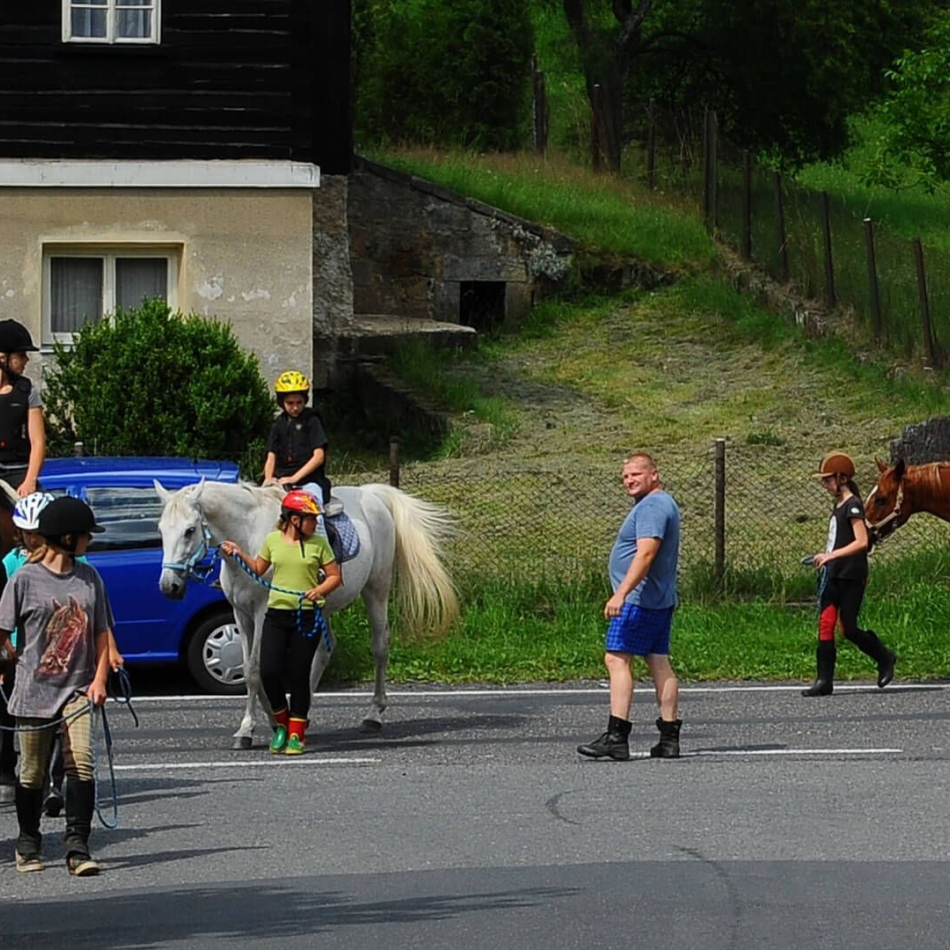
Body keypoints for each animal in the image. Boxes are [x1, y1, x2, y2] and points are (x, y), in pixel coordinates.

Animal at [156, 484, 462, 752]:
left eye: (189, 530)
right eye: (160, 530)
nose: (169, 587)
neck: (248, 533)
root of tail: (373, 494)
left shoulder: (262, 612)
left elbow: (255, 670)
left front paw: (248, 729)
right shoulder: (240, 614)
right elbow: (251, 668)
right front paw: (273, 720)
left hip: (376, 589)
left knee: (380, 647)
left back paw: (373, 715)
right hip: (319, 606)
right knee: (325, 650)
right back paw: (304, 713)